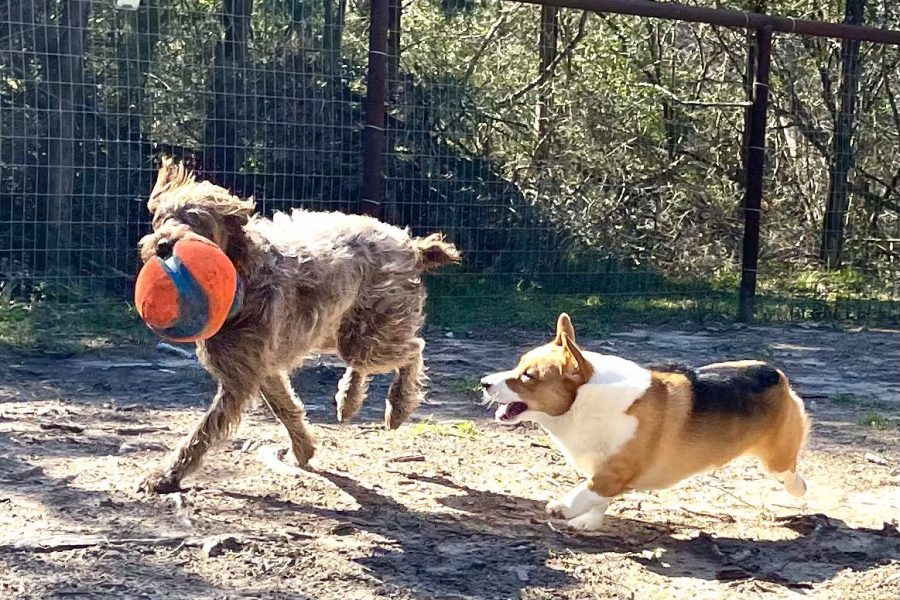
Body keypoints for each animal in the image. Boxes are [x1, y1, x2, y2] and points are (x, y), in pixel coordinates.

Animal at [137, 159, 460, 492]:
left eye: (198, 220)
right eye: (161, 218)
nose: (163, 245)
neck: (244, 274)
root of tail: (410, 245)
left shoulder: (240, 379)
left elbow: (204, 431)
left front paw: (167, 474)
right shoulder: (259, 368)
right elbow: (285, 408)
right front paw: (304, 448)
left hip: (370, 330)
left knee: (414, 349)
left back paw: (397, 406)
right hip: (342, 329)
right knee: (366, 361)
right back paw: (349, 400)